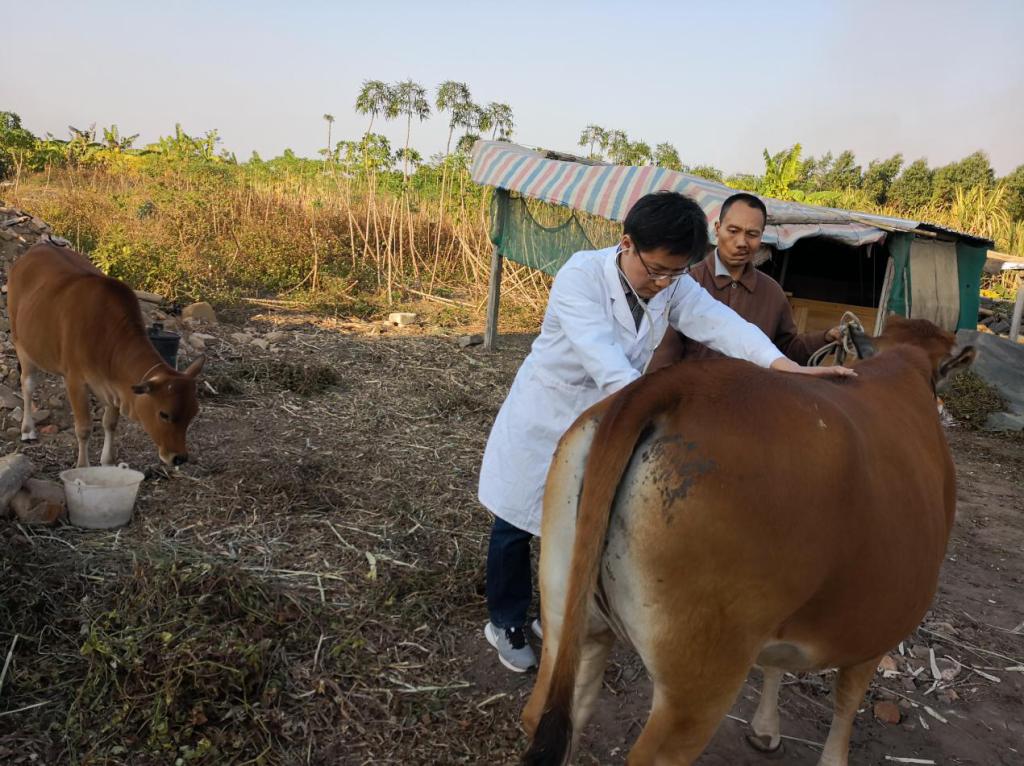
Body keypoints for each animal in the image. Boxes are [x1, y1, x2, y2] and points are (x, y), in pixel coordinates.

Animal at [8, 242, 204, 468]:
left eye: (193, 412)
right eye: (164, 414)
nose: (179, 457)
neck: (105, 334)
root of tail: (37, 248)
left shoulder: (115, 386)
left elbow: (110, 423)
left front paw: (108, 462)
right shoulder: (75, 380)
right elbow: (84, 428)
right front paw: (83, 467)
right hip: (20, 343)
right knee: (27, 385)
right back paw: (28, 430)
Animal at [522, 316, 974, 766]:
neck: (903, 364)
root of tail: (679, 384)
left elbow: (776, 665)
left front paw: (765, 730)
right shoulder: (878, 628)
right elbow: (847, 700)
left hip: (568, 615)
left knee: (548, 713)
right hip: (700, 678)